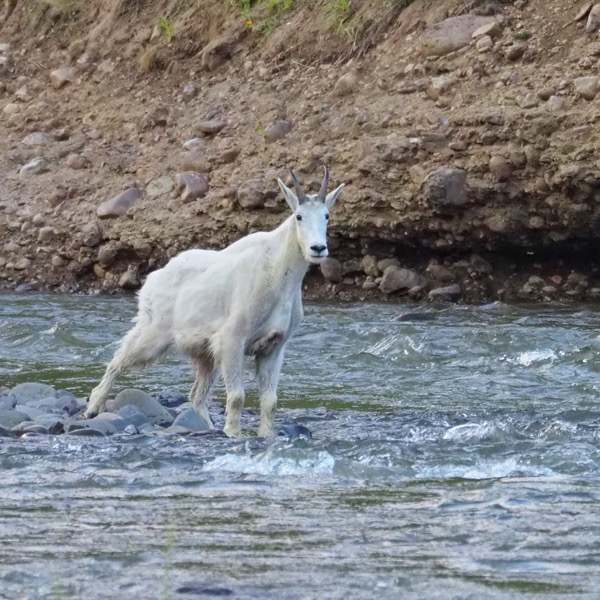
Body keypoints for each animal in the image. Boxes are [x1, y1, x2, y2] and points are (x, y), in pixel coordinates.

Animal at [86, 166, 344, 438]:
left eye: (327, 215)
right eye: (299, 216)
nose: (318, 248)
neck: (280, 274)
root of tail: (152, 280)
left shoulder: (273, 347)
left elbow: (270, 401)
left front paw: (266, 435)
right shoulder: (233, 339)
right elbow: (237, 396)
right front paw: (232, 432)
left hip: (204, 354)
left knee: (196, 395)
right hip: (153, 331)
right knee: (119, 359)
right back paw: (93, 407)